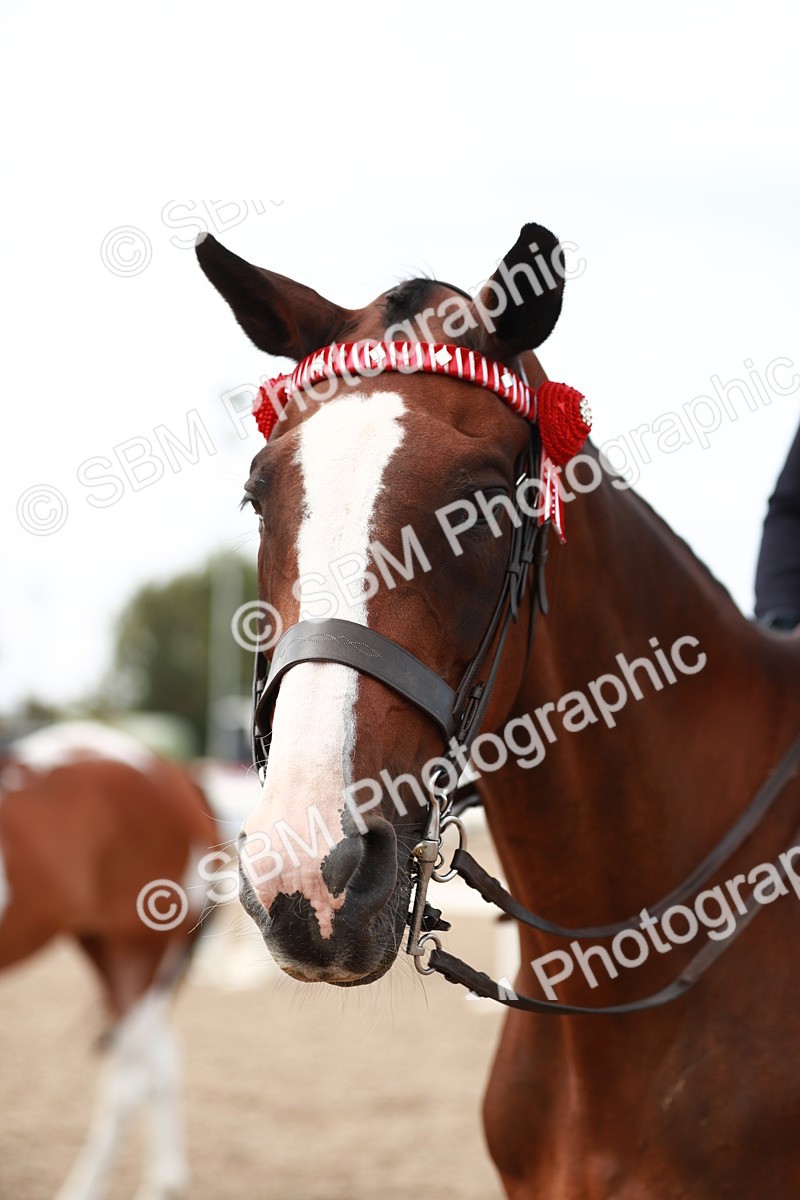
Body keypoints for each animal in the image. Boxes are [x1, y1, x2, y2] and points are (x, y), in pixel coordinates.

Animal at [0, 721, 217, 1200]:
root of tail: (172, 772)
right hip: (106, 951)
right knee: (161, 1057)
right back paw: (163, 1180)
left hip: (138, 952)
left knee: (130, 1083)